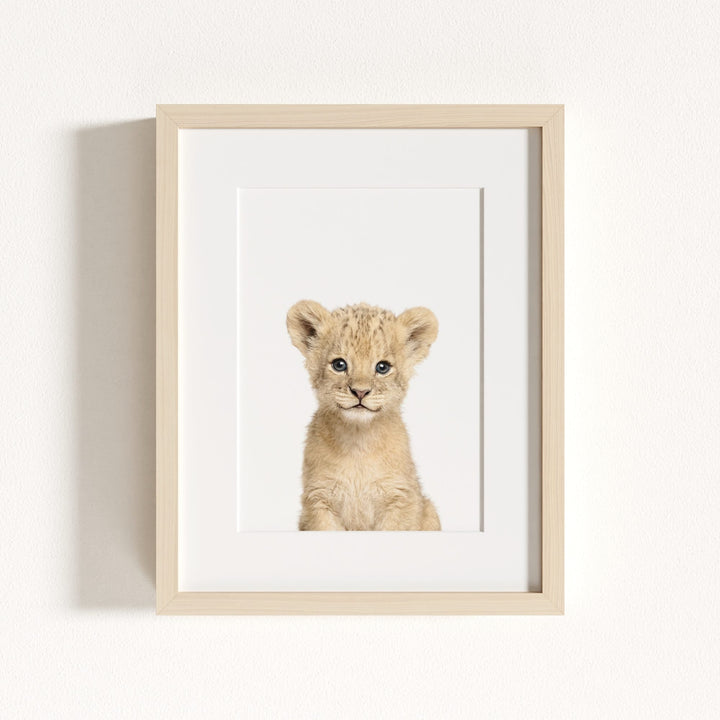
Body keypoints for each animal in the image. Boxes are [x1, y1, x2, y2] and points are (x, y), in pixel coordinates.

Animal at [286, 300, 441, 531]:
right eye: (339, 365)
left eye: (382, 367)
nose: (360, 392)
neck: (358, 442)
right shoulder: (318, 500)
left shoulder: (401, 498)